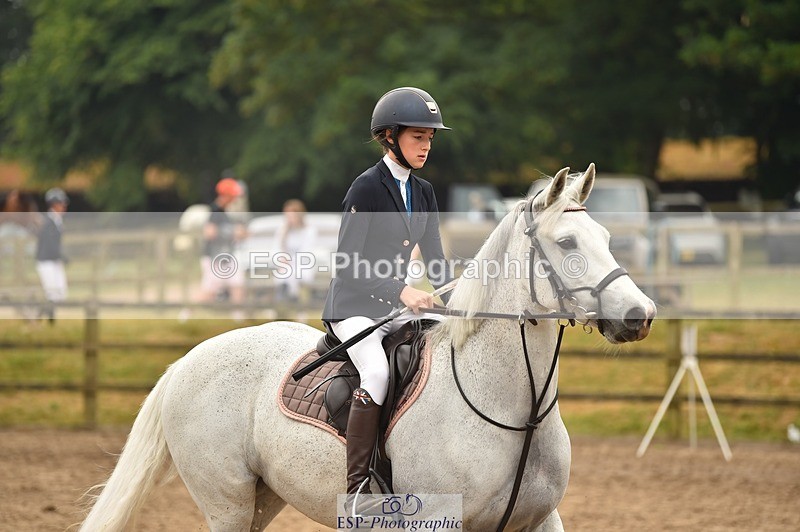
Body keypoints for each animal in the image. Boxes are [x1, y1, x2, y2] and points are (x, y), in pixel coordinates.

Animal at [79, 163, 656, 531]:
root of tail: (187, 360)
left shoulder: (542, 521)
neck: (516, 408)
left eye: (606, 237)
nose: (639, 315)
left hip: (261, 500)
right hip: (228, 503)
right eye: (567, 242)